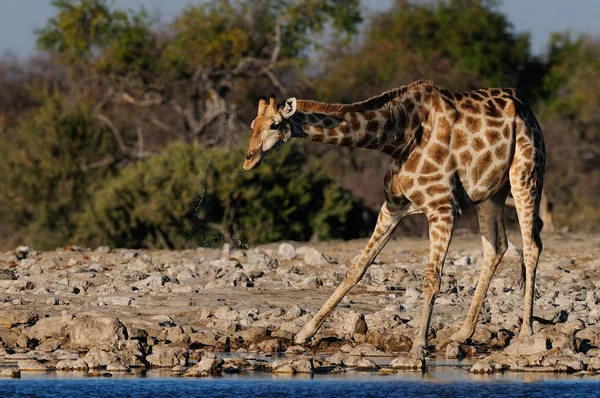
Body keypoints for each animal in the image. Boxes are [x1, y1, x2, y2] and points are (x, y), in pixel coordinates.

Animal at [243, 80, 544, 354]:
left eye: (274, 125)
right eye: (252, 125)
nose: (249, 159)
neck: (398, 138)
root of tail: (525, 108)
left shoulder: (443, 207)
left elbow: (431, 279)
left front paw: (418, 346)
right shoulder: (393, 206)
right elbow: (356, 268)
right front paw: (305, 332)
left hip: (526, 175)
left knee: (531, 245)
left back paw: (526, 331)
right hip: (491, 192)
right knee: (496, 246)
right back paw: (464, 332)